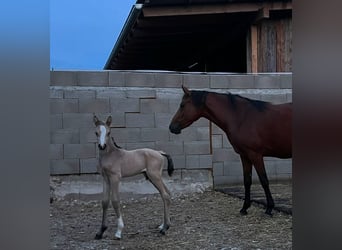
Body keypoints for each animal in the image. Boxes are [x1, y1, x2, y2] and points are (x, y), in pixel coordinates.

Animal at [168, 86, 292, 215]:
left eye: (182, 105)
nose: (172, 127)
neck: (241, 117)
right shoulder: (245, 155)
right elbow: (247, 181)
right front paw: (244, 208)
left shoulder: (255, 155)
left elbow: (264, 180)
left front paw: (269, 208)